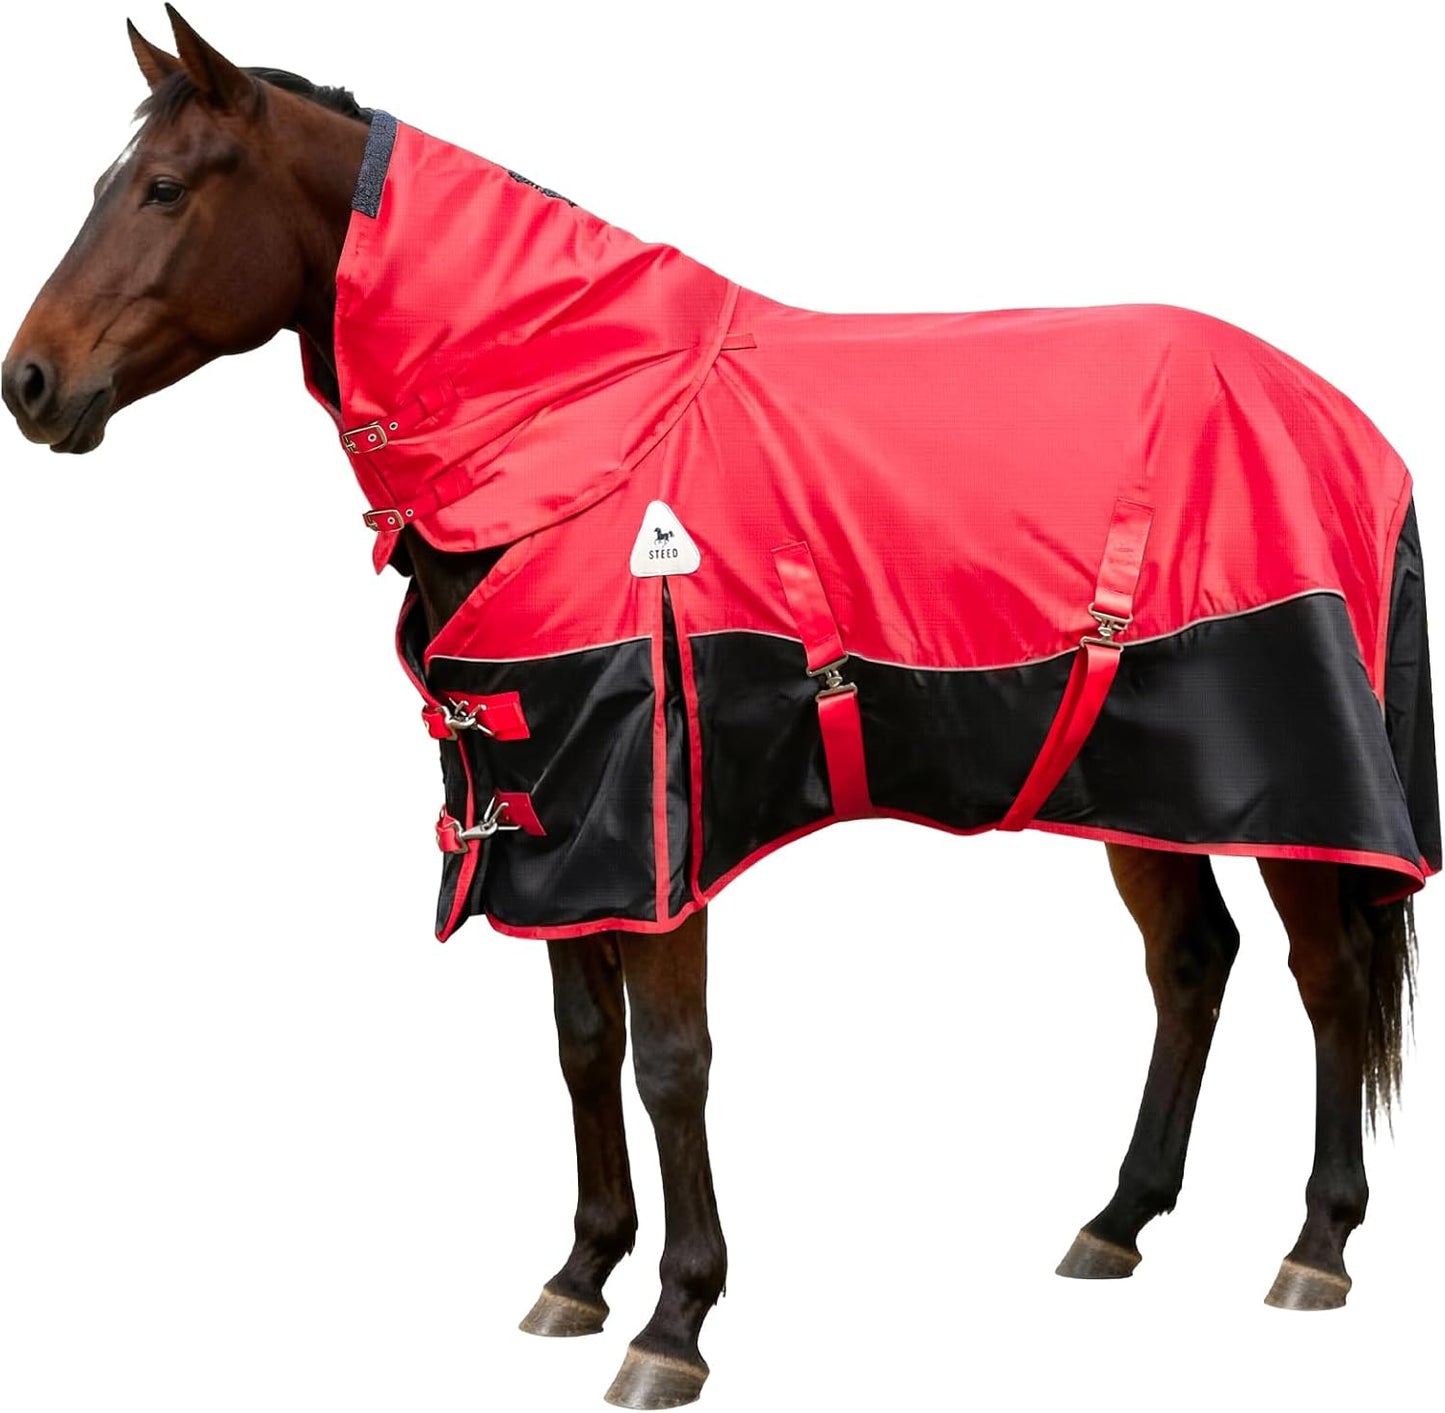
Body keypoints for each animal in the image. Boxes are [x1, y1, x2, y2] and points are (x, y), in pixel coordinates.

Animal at [3, 11, 1435, 1408]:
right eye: (101, 185)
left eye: (165, 187)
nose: (30, 382)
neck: (584, 428)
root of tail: (1342, 419)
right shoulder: (548, 823)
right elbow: (584, 1047)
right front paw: (580, 1272)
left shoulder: (658, 828)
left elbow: (669, 1061)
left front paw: (674, 1321)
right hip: (1141, 785)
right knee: (1189, 964)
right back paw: (1116, 1221)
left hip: (1294, 786)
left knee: (1325, 977)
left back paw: (1315, 1243)